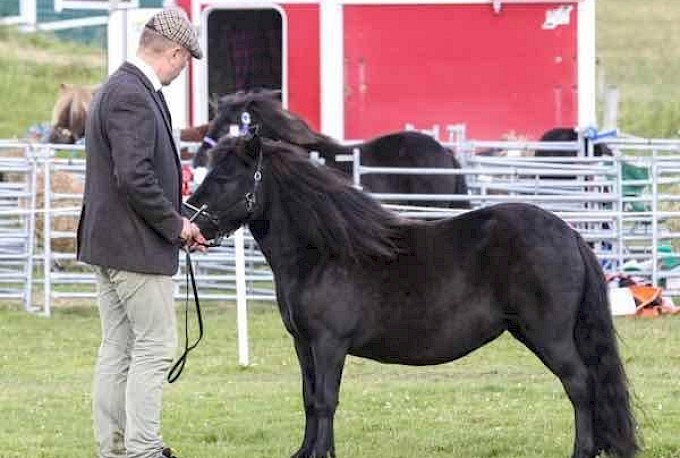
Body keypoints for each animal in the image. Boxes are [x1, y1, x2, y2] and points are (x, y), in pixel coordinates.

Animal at [187, 134, 636, 458]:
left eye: (222, 179)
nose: (189, 223)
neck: (322, 253)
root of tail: (570, 234)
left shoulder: (329, 344)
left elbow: (326, 400)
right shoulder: (304, 345)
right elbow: (309, 399)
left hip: (550, 336)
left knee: (580, 384)